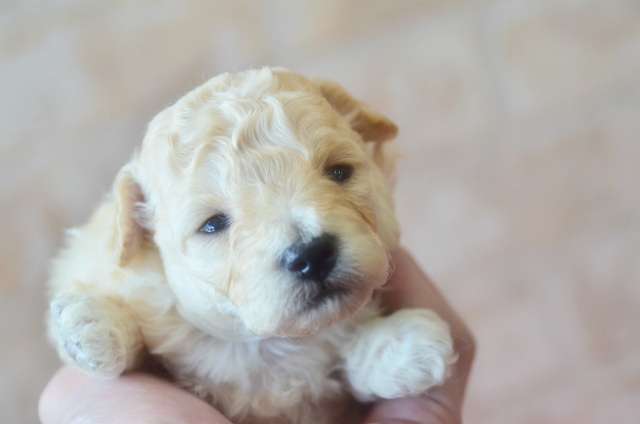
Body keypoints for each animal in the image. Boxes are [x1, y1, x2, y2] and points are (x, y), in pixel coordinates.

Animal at [46, 67, 455, 424]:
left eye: (339, 172)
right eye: (212, 224)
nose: (312, 256)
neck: (265, 344)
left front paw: (404, 344)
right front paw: (94, 324)